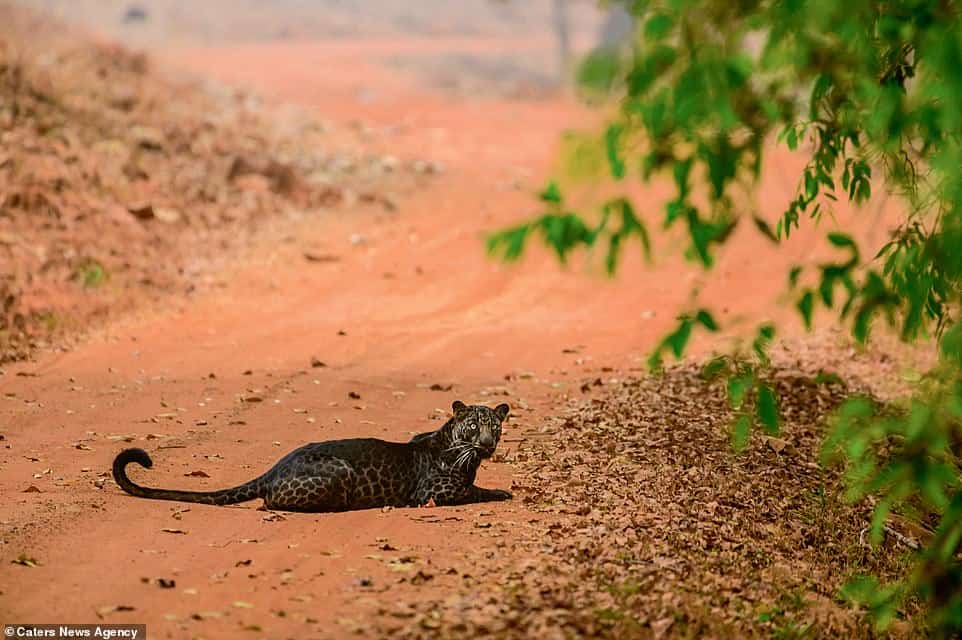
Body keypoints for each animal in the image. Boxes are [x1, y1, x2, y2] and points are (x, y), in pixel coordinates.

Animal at [111, 402, 510, 512]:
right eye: (474, 426)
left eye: (495, 427)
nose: (488, 444)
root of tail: (275, 467)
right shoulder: (436, 492)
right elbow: (475, 491)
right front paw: (502, 492)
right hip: (339, 470)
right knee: (271, 502)